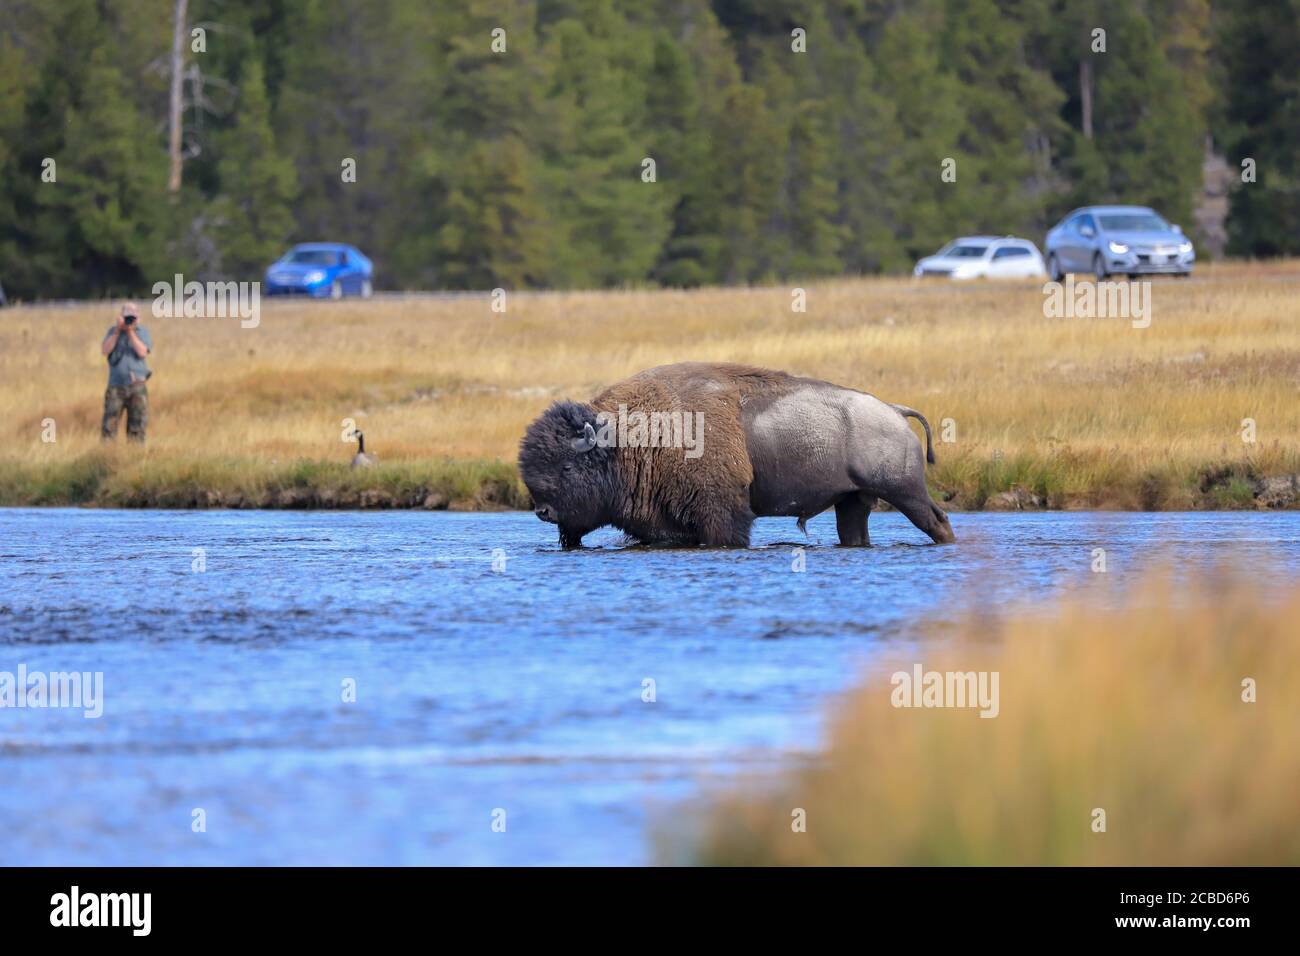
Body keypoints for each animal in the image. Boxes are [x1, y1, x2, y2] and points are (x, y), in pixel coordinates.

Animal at [517, 361, 956, 548]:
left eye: (568, 464)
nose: (542, 511)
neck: (628, 441)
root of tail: (894, 410)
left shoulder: (721, 513)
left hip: (904, 491)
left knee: (936, 520)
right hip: (852, 501)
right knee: (855, 532)